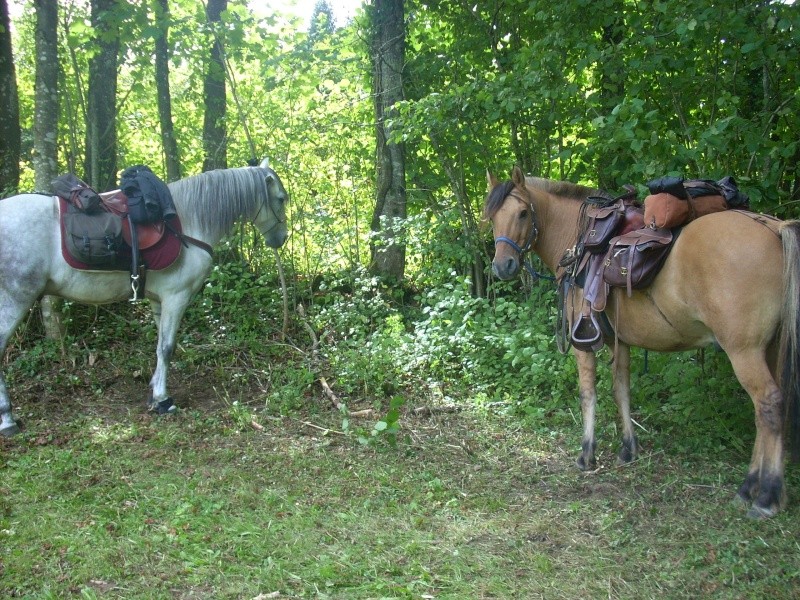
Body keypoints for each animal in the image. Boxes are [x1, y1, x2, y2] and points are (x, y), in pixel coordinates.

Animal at [0, 161, 288, 436]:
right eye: (281, 199)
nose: (282, 238)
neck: (189, 221)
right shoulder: (176, 298)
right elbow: (167, 347)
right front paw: (162, 400)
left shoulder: (159, 301)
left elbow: (160, 345)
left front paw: (154, 392)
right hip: (14, 301)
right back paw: (8, 419)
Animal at [484, 166, 796, 516]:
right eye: (493, 217)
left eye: (523, 213)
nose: (503, 267)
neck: (578, 240)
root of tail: (775, 228)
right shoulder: (620, 341)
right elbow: (622, 390)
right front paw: (628, 449)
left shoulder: (583, 342)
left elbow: (588, 394)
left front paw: (586, 454)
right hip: (770, 349)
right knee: (767, 411)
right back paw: (752, 488)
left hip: (744, 352)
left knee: (768, 404)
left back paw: (765, 496)